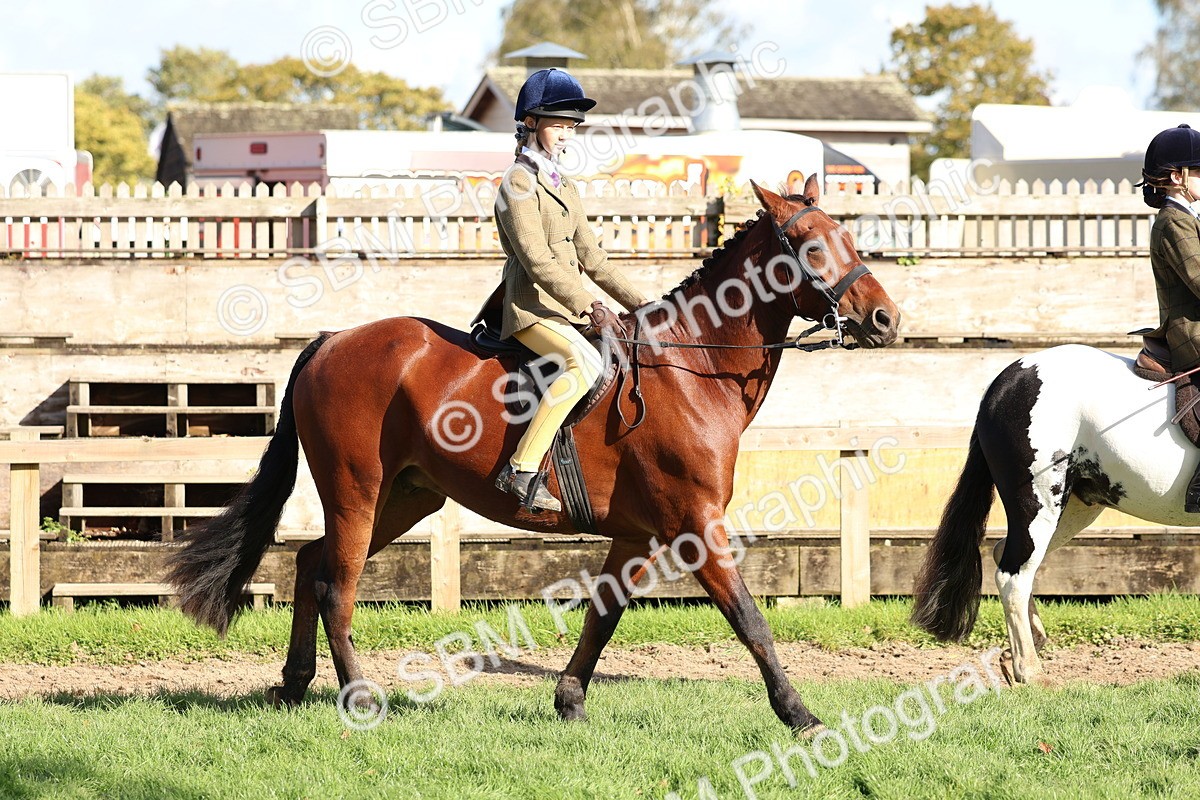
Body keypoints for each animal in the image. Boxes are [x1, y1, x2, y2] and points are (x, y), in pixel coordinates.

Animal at [167, 174, 900, 735]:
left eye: (849, 239)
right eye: (811, 247)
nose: (887, 320)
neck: (691, 369)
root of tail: (331, 340)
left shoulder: (638, 534)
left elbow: (604, 616)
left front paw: (569, 701)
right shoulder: (695, 524)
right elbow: (749, 619)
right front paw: (800, 714)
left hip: (405, 497)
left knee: (311, 564)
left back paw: (295, 683)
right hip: (357, 490)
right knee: (335, 585)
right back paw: (360, 695)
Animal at [912, 343, 1198, 685]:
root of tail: (1007, 380)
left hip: (1072, 508)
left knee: (1006, 556)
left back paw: (1019, 652)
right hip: (1038, 505)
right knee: (1013, 577)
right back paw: (1031, 673)